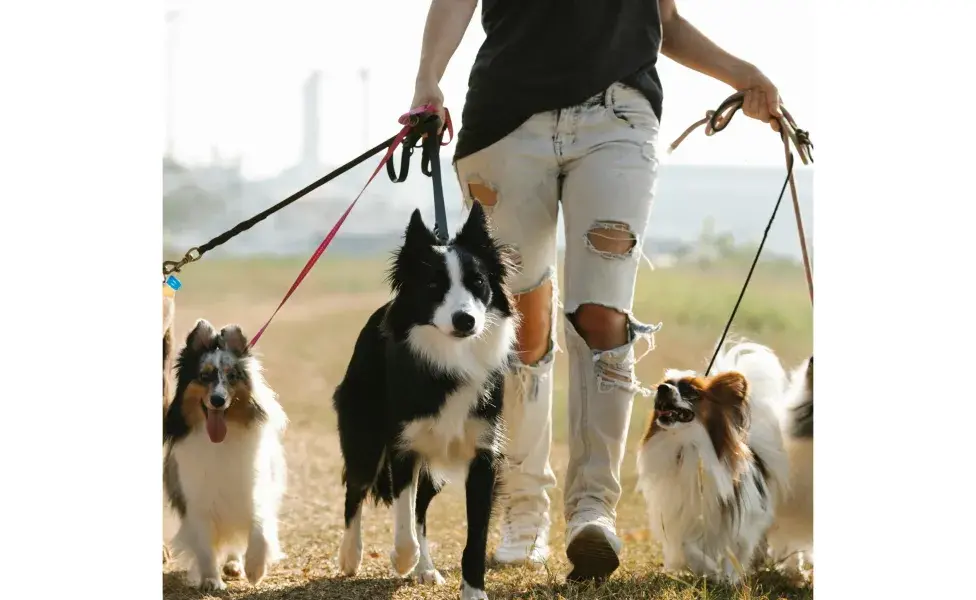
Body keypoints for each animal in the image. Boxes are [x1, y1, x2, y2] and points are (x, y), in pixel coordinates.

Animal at [160, 318, 288, 592]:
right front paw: (211, 581)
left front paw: (255, 570)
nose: (218, 400)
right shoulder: (197, 502)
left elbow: (260, 529)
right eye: (204, 376)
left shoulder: (253, 490)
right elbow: (205, 548)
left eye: (232, 376)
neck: (220, 442)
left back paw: (235, 564)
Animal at [334, 200, 520, 600]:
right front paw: (402, 560)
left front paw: (473, 591)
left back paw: (425, 568)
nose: (465, 320)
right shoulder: (404, 447)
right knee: (355, 490)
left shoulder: (484, 455)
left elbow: (474, 537)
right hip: (365, 436)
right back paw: (351, 556)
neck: (451, 357)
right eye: (434, 285)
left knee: (420, 506)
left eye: (478, 282)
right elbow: (402, 521)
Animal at [636, 344, 812, 584]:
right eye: (666, 384)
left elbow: (734, 549)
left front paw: (728, 578)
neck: (686, 446)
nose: (662, 388)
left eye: (691, 391)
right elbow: (688, 547)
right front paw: (710, 571)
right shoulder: (681, 515)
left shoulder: (742, 519)